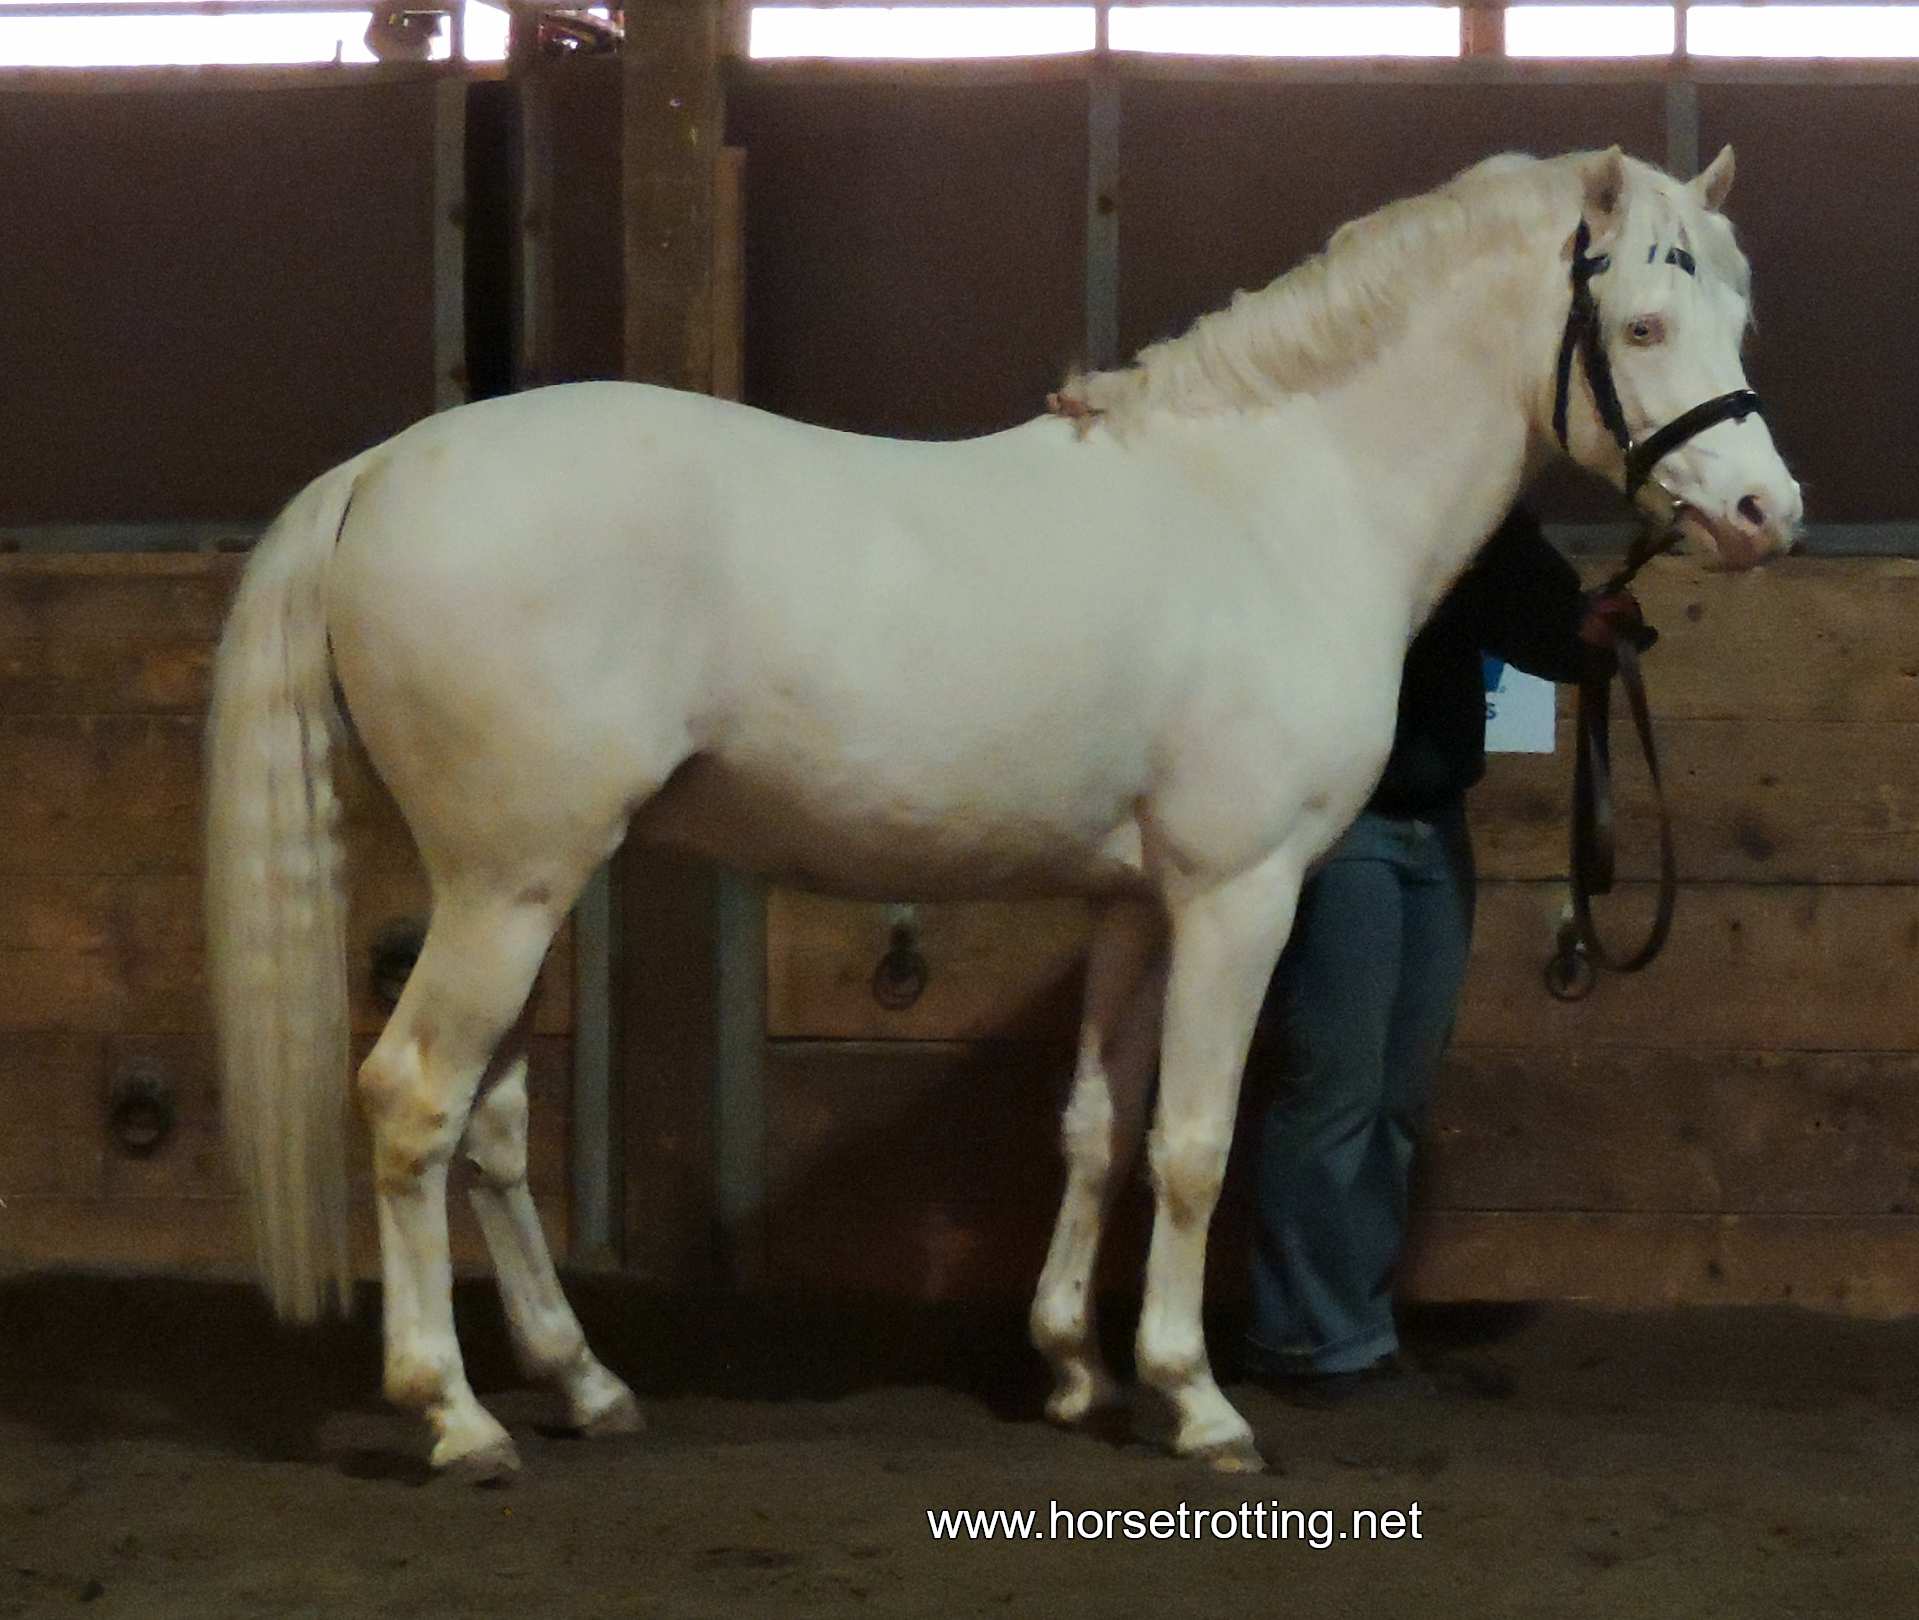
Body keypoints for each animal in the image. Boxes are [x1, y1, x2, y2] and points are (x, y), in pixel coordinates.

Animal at [206, 145, 1800, 1481]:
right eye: (1641, 328)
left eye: (1736, 315)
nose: (1762, 515)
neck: (1274, 504)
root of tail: (381, 469)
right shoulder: (1239, 894)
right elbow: (1195, 1148)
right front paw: (1197, 1403)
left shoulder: (1135, 904)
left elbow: (1098, 1125)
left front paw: (1075, 1372)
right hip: (509, 885)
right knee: (413, 1099)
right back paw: (456, 1418)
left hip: (521, 886)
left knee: (486, 1122)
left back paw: (583, 1384)